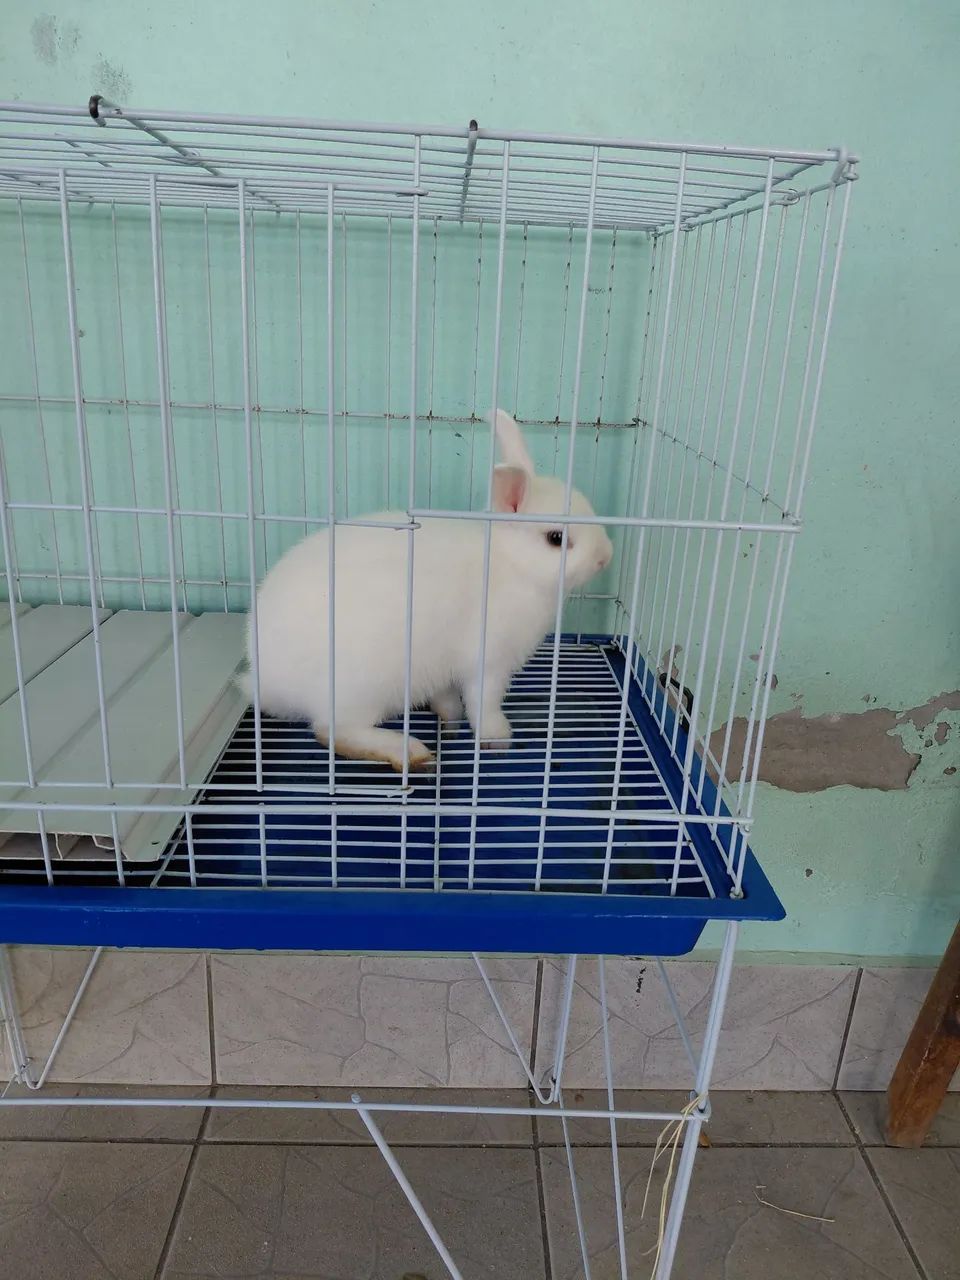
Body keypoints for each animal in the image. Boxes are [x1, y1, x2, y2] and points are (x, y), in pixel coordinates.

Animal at [243, 410, 613, 772]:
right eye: (556, 539)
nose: (605, 558)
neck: (508, 563)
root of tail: (265, 680)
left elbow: (451, 696)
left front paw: (449, 718)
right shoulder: (488, 660)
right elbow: (484, 703)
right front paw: (497, 740)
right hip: (363, 688)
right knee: (333, 731)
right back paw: (410, 751)